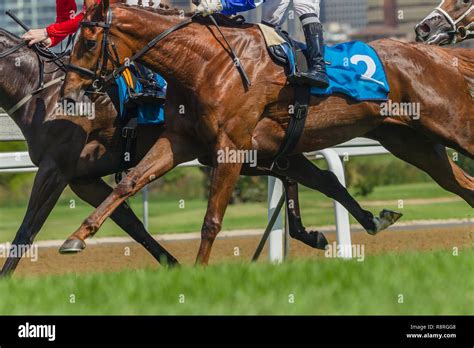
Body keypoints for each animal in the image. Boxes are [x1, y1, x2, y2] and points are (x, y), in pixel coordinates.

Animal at [61, 0, 472, 264]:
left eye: (89, 41)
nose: (69, 95)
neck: (205, 63)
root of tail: (441, 55)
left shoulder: (232, 148)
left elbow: (211, 221)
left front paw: (198, 274)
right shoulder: (178, 141)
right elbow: (129, 184)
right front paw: (75, 237)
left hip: (453, 128)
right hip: (412, 143)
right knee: (462, 184)